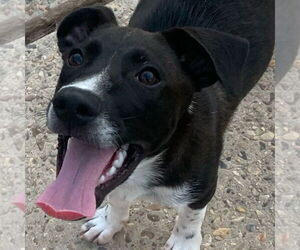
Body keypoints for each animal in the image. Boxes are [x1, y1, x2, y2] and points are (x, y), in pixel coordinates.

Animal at [37, 0, 274, 249]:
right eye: (76, 58)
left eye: (148, 76)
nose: (72, 103)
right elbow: (118, 197)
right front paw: (109, 223)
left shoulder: (203, 187)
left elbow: (190, 216)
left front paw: (183, 242)